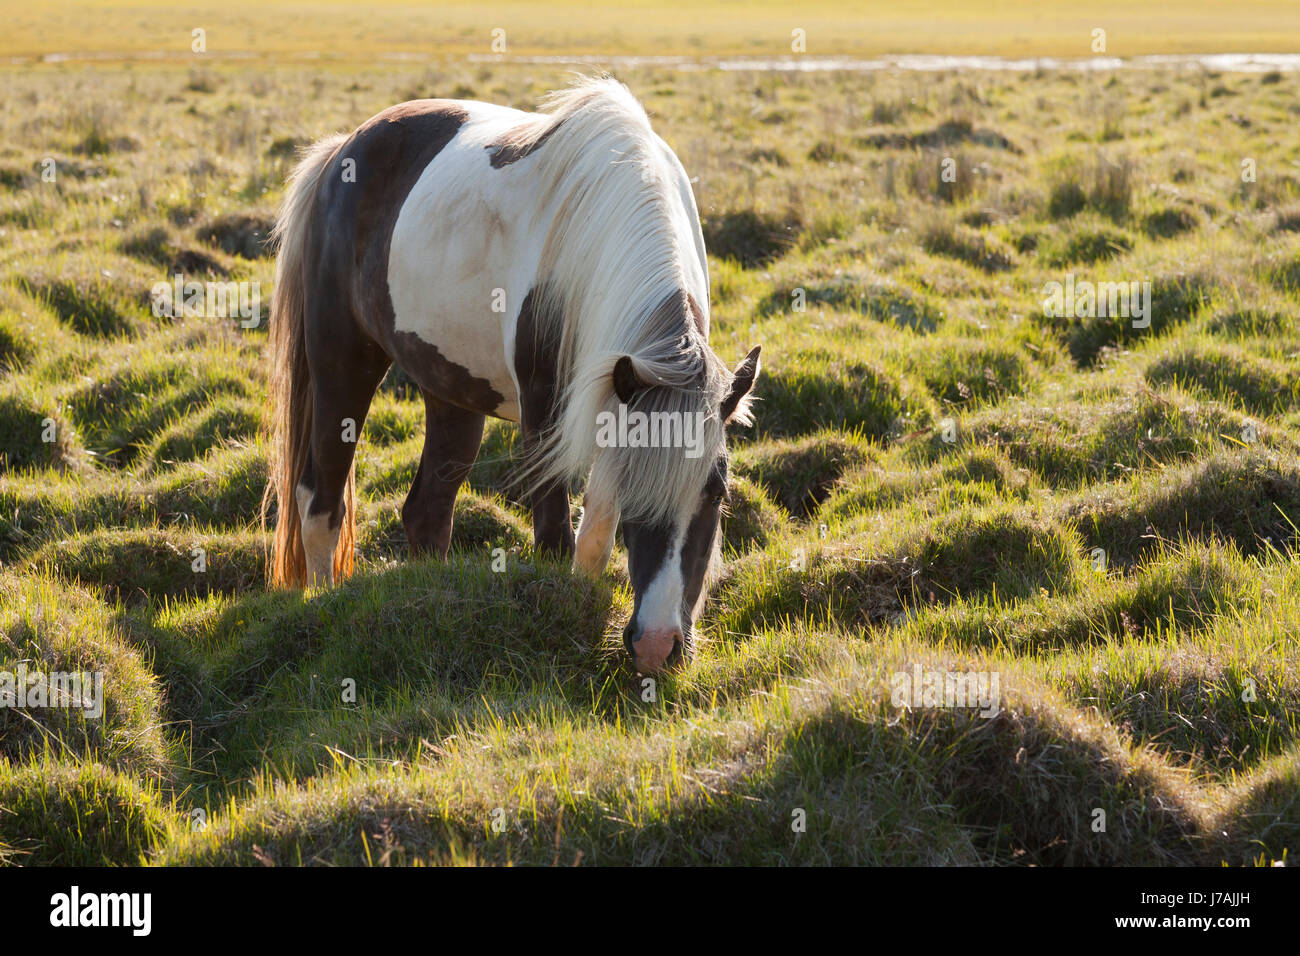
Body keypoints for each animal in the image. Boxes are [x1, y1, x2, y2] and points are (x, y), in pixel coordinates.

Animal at [263, 76, 759, 671]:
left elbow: (594, 537)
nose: (657, 649)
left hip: (451, 392)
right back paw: (322, 605)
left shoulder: (614, 404)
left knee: (426, 513)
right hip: (343, 364)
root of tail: (341, 150)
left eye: (717, 493)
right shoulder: (547, 418)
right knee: (319, 503)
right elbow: (555, 538)